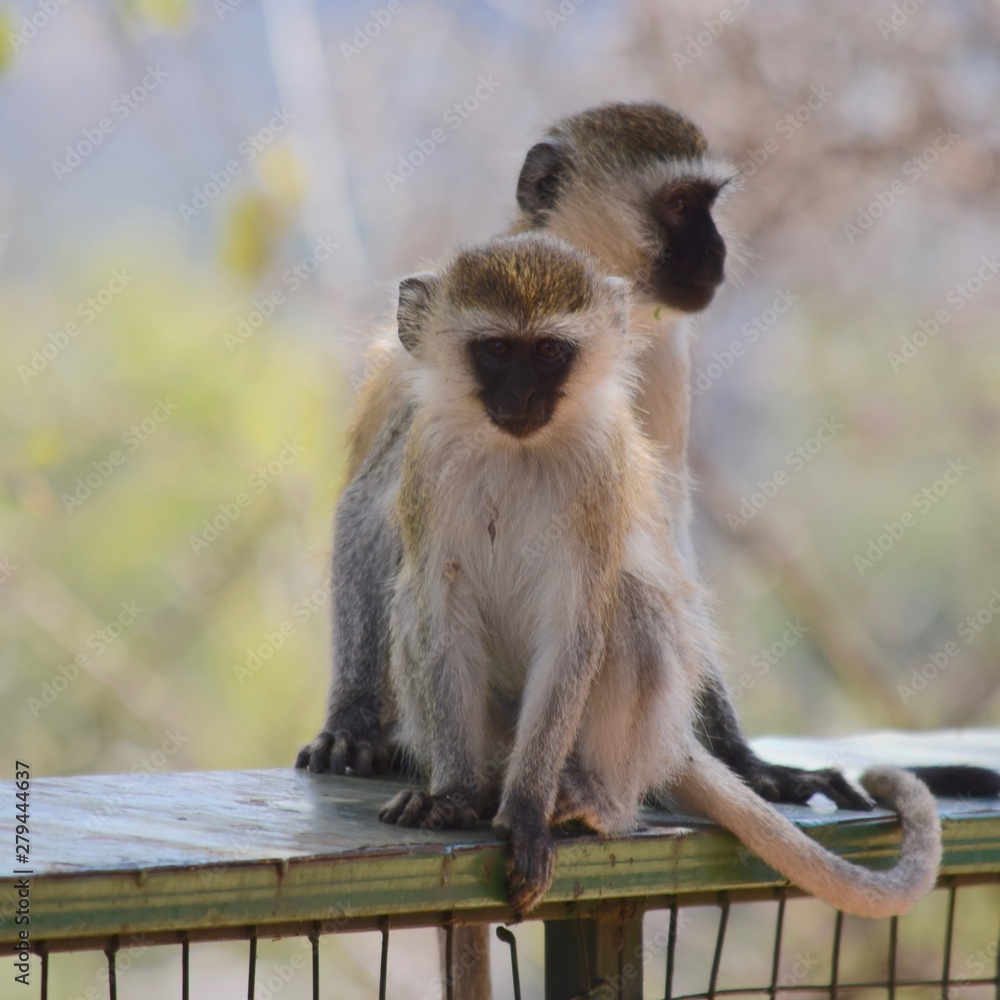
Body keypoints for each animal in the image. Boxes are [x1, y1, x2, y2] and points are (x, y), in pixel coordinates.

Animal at [296, 101, 1000, 806]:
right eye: (680, 204)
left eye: (709, 204)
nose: (716, 250)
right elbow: (370, 512)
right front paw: (351, 722)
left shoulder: (663, 360)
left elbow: (660, 533)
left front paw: (743, 759)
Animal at [376, 231, 942, 921]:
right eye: (497, 350)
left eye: (548, 352)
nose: (521, 399)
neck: (517, 448)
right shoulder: (426, 460)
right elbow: (441, 607)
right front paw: (453, 794)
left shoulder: (600, 469)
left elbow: (578, 625)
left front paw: (528, 813)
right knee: (411, 605)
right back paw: (482, 786)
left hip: (627, 741)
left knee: (630, 602)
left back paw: (599, 802)